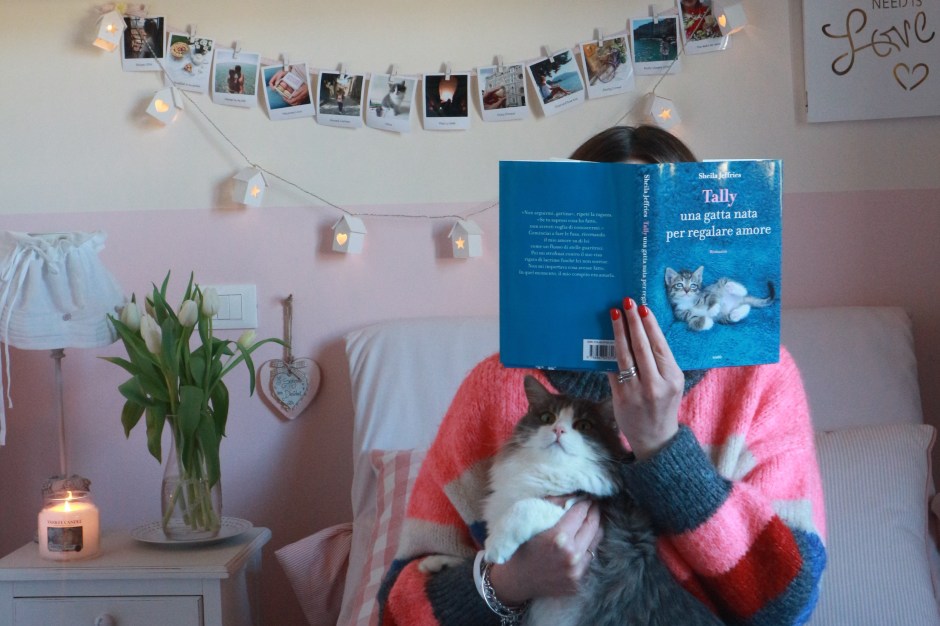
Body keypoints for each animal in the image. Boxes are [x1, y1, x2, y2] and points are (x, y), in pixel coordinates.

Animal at [470, 376, 723, 626]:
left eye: (584, 426)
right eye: (547, 418)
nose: (558, 430)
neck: (549, 470)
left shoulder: (585, 503)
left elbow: (525, 507)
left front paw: (496, 546)